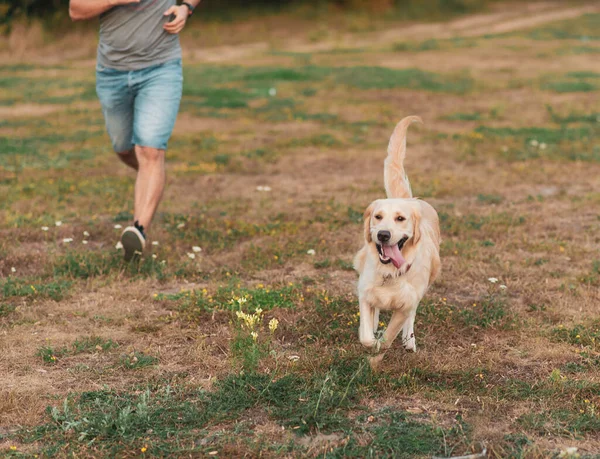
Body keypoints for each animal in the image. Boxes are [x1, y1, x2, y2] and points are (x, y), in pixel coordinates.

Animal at [352, 116, 440, 362]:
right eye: (378, 216)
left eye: (400, 218)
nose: (383, 234)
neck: (389, 273)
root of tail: (410, 199)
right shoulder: (365, 292)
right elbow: (366, 333)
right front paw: (371, 340)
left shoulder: (404, 305)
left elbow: (389, 336)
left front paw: (376, 357)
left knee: (411, 316)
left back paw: (409, 340)